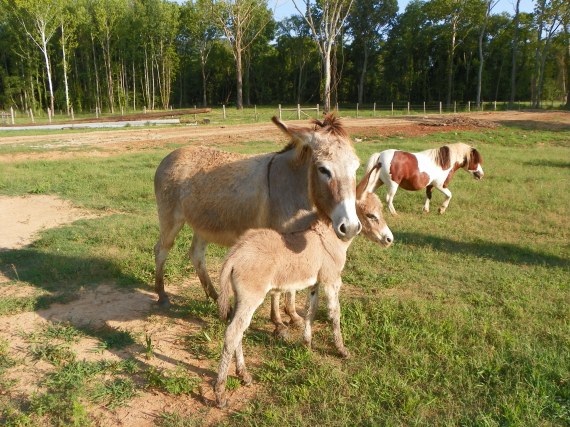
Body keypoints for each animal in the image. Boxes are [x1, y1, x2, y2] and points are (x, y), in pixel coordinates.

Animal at [154, 114, 383, 333]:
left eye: (355, 167)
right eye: (323, 170)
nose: (350, 227)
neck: (294, 186)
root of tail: (171, 154)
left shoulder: (298, 241)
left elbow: (293, 283)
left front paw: (293, 316)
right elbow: (280, 285)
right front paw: (278, 322)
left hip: (203, 223)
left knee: (196, 255)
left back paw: (216, 297)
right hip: (171, 218)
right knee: (161, 249)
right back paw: (162, 295)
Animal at [214, 165, 383, 408]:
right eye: (371, 215)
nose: (389, 239)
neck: (330, 237)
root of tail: (234, 254)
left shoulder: (315, 283)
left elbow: (310, 312)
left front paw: (307, 343)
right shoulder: (332, 280)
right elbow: (334, 314)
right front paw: (341, 350)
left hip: (241, 298)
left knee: (238, 332)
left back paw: (243, 375)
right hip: (251, 297)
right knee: (233, 333)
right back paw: (220, 392)